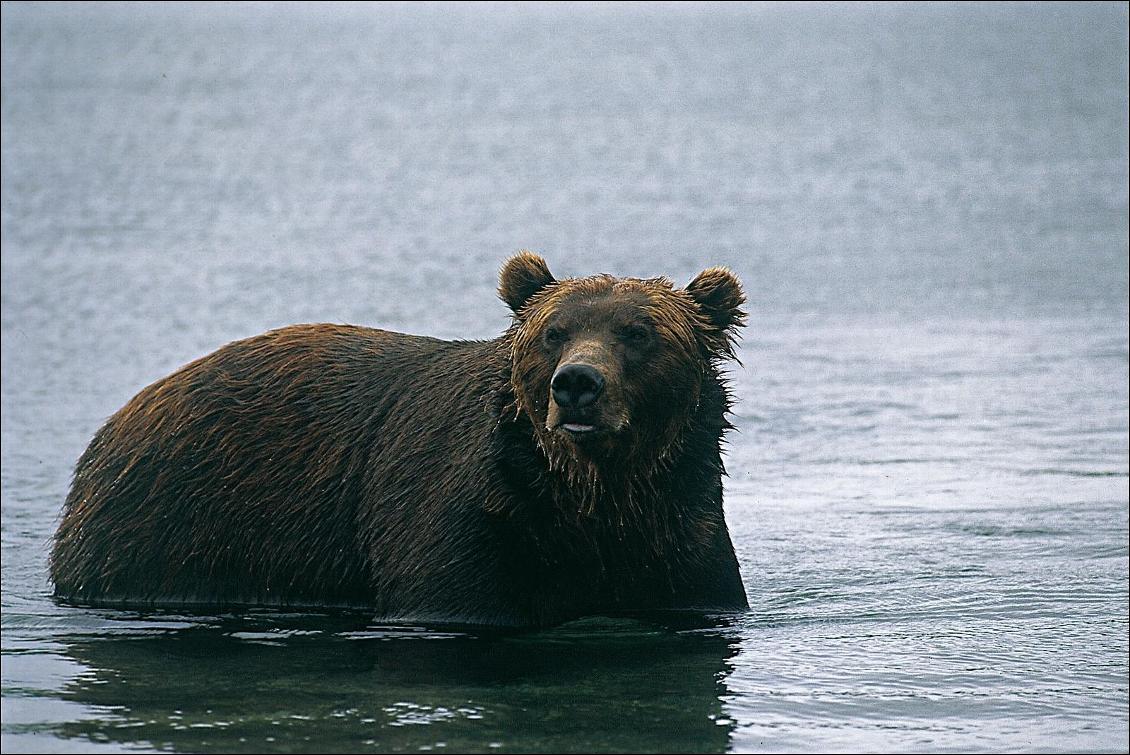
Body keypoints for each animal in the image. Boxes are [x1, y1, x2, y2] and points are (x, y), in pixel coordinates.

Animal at [50, 253, 750, 623]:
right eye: (555, 331)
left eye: (638, 333)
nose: (576, 384)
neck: (592, 494)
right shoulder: (470, 524)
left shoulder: (678, 534)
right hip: (173, 522)